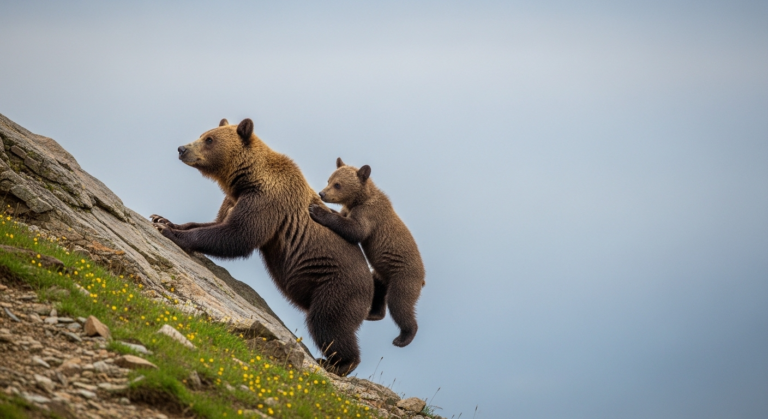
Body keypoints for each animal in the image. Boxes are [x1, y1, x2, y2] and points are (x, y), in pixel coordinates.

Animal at [150, 118, 373, 376]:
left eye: (209, 139)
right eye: (204, 133)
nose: (182, 149)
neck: (246, 179)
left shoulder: (266, 201)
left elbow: (238, 235)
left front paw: (170, 232)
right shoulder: (234, 199)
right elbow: (215, 223)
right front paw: (163, 219)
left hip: (337, 286)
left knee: (328, 323)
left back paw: (339, 363)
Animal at [309, 158, 425, 347]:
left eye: (338, 184)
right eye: (329, 180)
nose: (322, 194)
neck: (360, 199)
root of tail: (423, 279)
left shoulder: (369, 214)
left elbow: (356, 230)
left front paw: (317, 211)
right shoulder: (349, 210)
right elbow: (343, 218)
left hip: (404, 277)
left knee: (399, 304)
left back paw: (403, 337)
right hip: (382, 273)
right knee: (378, 291)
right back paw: (373, 313)